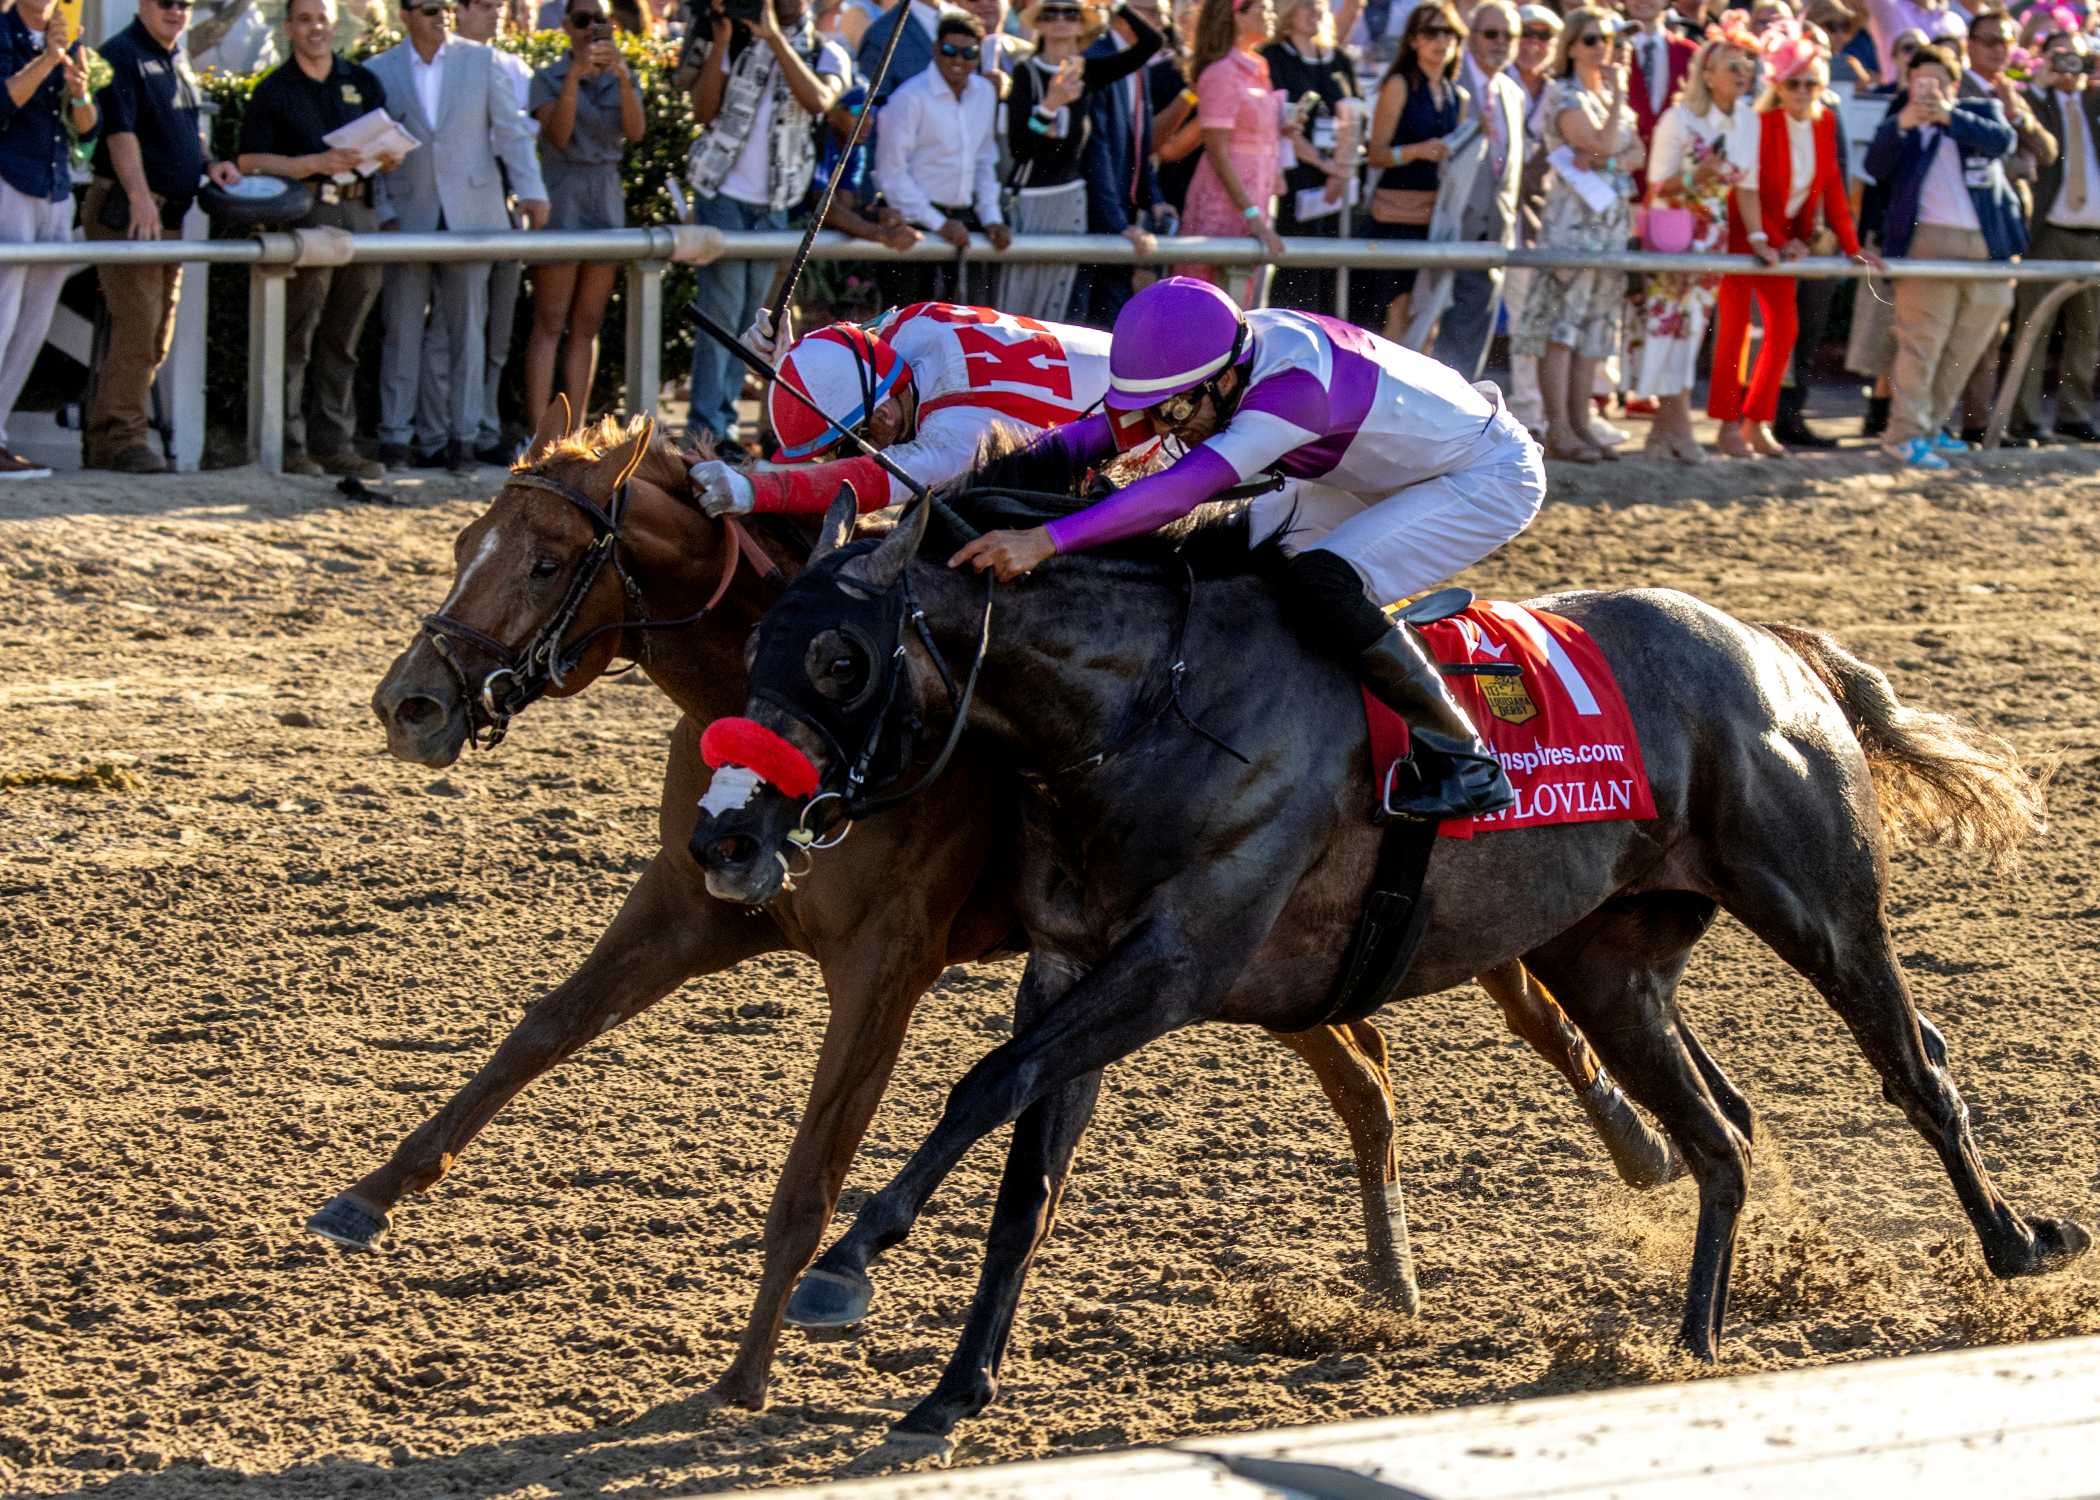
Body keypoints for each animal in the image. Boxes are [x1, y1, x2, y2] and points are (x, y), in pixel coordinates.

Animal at [330, 404, 1672, 1413]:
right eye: (463, 539)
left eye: (550, 561)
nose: (409, 704)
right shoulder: (695, 901)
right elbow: (544, 1027)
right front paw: (372, 1193)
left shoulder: (885, 964)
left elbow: (813, 1170)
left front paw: (749, 1371)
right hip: (1259, 963)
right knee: (1367, 1065)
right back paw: (1394, 1278)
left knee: (1531, 1012)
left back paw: (1644, 1147)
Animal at [692, 459, 2089, 1458]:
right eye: (753, 648)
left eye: (839, 657)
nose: (725, 834)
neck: (1152, 704)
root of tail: (1776, 648)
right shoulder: (1075, 967)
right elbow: (1027, 1175)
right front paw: (953, 1388)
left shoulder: (1176, 967)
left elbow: (984, 1087)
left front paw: (844, 1271)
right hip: (1608, 965)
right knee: (1720, 1133)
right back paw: (1693, 1344)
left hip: (1819, 907)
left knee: (1916, 1066)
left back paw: (2016, 1248)